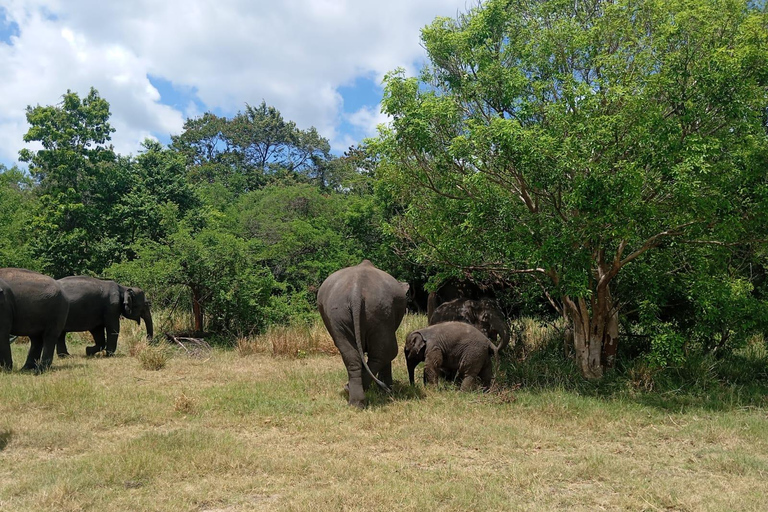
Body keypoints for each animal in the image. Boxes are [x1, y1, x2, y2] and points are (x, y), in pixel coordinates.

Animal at [318, 260, 412, 408]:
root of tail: (356, 292)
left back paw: (354, 399)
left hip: (340, 315)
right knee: (387, 352)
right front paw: (386, 389)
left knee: (352, 355)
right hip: (380, 312)